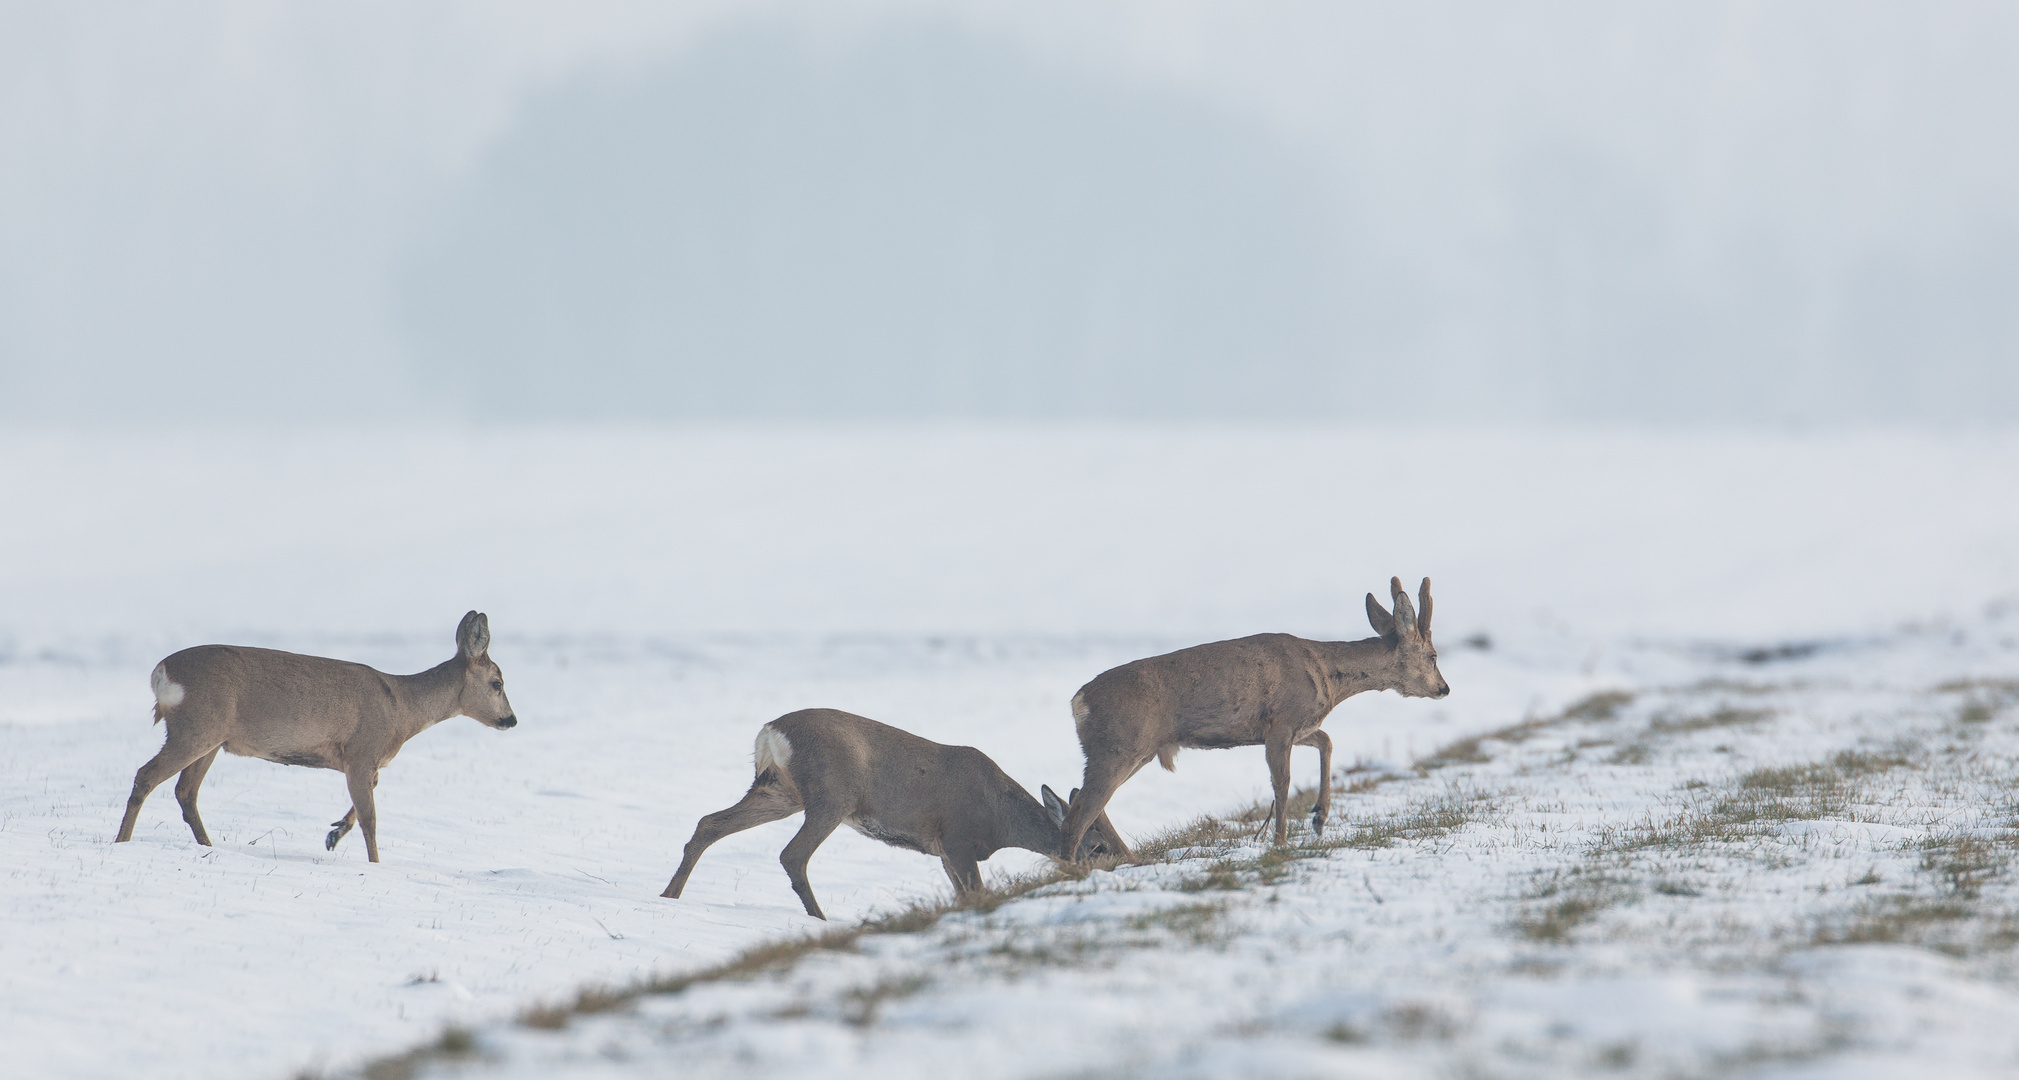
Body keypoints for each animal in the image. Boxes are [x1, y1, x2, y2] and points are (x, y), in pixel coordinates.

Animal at [114, 613, 516, 868]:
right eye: (497, 683)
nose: (511, 719)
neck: (402, 708)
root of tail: (161, 672)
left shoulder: (364, 763)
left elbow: (361, 808)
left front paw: (334, 834)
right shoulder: (362, 751)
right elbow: (371, 818)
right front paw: (375, 865)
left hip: (211, 738)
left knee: (186, 792)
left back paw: (209, 846)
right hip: (197, 726)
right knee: (147, 776)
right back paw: (121, 842)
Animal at [666, 710, 1130, 920]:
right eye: (1097, 846)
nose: (1128, 861)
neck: (999, 820)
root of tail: (770, 732)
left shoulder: (943, 852)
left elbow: (962, 896)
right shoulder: (958, 840)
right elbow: (978, 894)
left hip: (779, 790)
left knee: (709, 823)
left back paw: (669, 896)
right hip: (831, 794)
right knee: (792, 855)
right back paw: (821, 921)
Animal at [1057, 577, 1453, 859]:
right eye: (1433, 655)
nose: (1444, 688)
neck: (1326, 673)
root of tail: (1078, 701)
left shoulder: (1294, 727)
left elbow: (1326, 741)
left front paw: (1319, 816)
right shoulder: (1280, 723)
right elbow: (1282, 782)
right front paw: (1280, 842)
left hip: (1131, 752)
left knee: (1082, 804)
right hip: (1118, 747)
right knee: (1078, 814)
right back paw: (1074, 873)